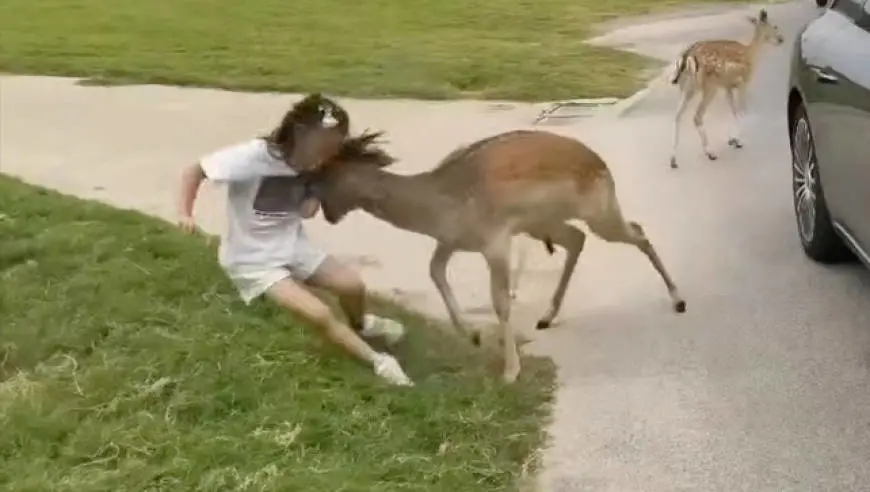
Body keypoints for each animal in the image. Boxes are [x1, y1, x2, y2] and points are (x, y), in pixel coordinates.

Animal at [309, 128, 687, 383]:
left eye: (324, 176)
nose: (325, 213)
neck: (438, 203)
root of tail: (602, 164)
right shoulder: (452, 241)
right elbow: (434, 271)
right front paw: (472, 335)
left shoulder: (496, 242)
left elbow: (500, 302)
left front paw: (509, 370)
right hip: (545, 222)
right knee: (578, 239)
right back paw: (547, 316)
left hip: (599, 212)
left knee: (637, 231)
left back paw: (678, 299)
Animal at [669, 8, 784, 169]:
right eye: (775, 27)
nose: (781, 39)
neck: (751, 55)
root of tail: (687, 57)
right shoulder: (742, 82)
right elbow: (742, 110)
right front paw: (738, 141)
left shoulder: (727, 86)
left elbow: (734, 110)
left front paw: (732, 139)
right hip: (709, 86)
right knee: (697, 116)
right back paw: (710, 152)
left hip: (686, 87)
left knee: (677, 115)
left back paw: (673, 159)